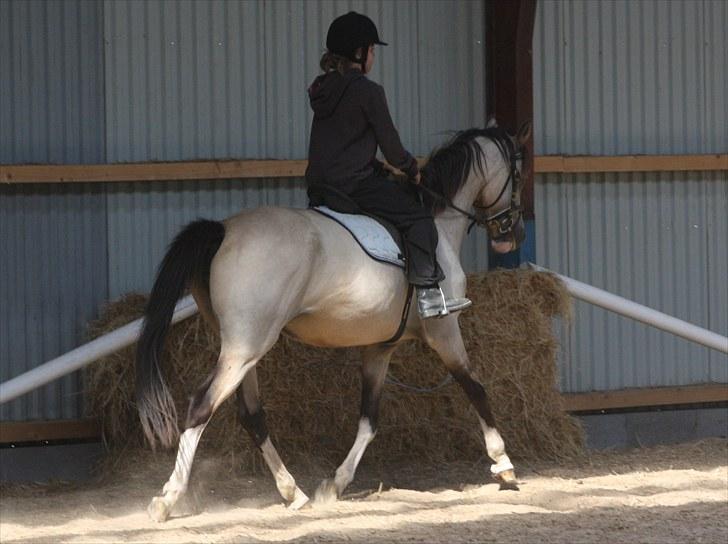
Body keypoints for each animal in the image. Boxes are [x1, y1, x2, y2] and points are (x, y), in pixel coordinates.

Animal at [136, 120, 532, 524]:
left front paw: (334, 485)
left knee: (251, 415)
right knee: (202, 405)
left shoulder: (379, 347)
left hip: (242, 348)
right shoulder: (445, 331)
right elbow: (476, 389)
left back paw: (293, 492)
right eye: (518, 174)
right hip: (245, 347)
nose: (512, 236)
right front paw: (504, 465)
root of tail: (224, 229)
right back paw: (167, 499)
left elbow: (369, 421)